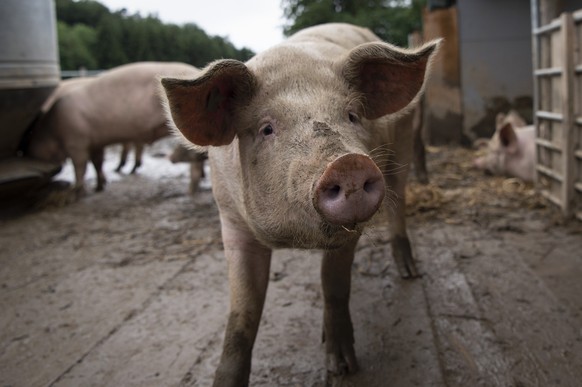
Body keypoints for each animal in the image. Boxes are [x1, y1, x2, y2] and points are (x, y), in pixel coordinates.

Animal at [26, 61, 201, 193]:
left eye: (29, 138)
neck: (50, 127)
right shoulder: (95, 142)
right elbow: (97, 162)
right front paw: (99, 187)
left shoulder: (76, 140)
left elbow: (80, 165)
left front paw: (76, 191)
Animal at [162, 23, 440, 384]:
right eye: (266, 128)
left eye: (351, 116)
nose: (348, 163)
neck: (292, 239)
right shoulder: (232, 221)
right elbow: (241, 316)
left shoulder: (349, 231)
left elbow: (334, 283)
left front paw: (342, 367)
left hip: (404, 143)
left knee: (399, 201)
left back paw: (409, 272)